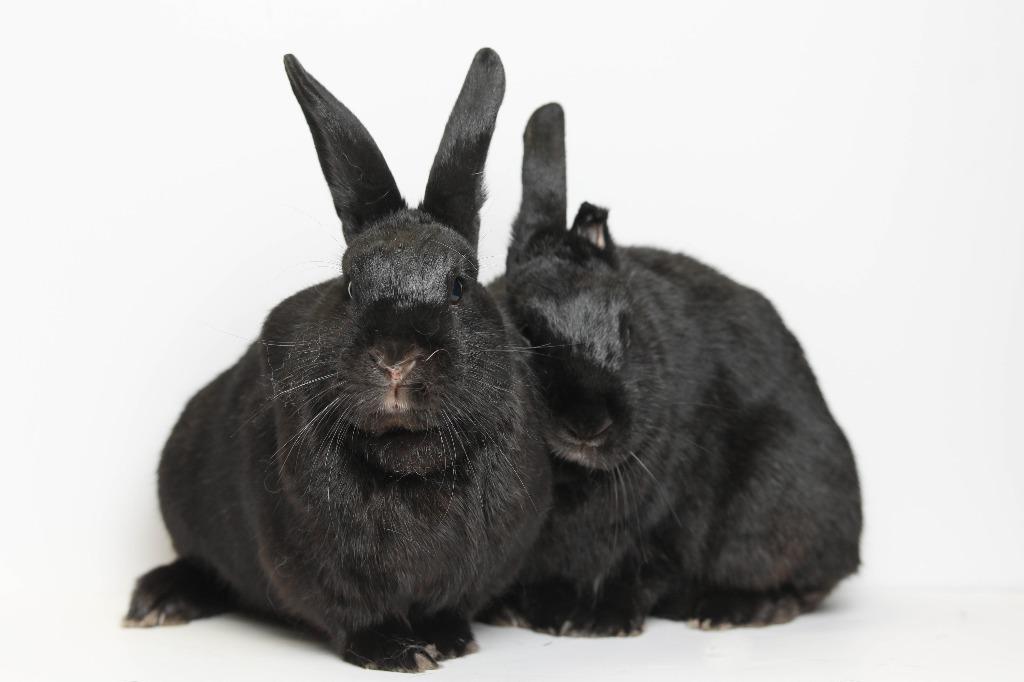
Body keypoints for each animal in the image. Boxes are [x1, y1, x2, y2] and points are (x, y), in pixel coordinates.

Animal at [123, 49, 551, 673]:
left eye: (458, 286)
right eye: (350, 284)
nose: (396, 360)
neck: (408, 458)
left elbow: (449, 604)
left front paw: (448, 641)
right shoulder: (315, 564)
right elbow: (353, 615)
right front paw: (398, 653)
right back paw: (159, 601)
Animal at [481, 102, 861, 637]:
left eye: (627, 330)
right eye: (526, 333)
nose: (589, 425)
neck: (570, 473)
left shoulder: (669, 520)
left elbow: (640, 574)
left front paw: (601, 622)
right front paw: (523, 612)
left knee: (804, 582)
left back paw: (734, 610)